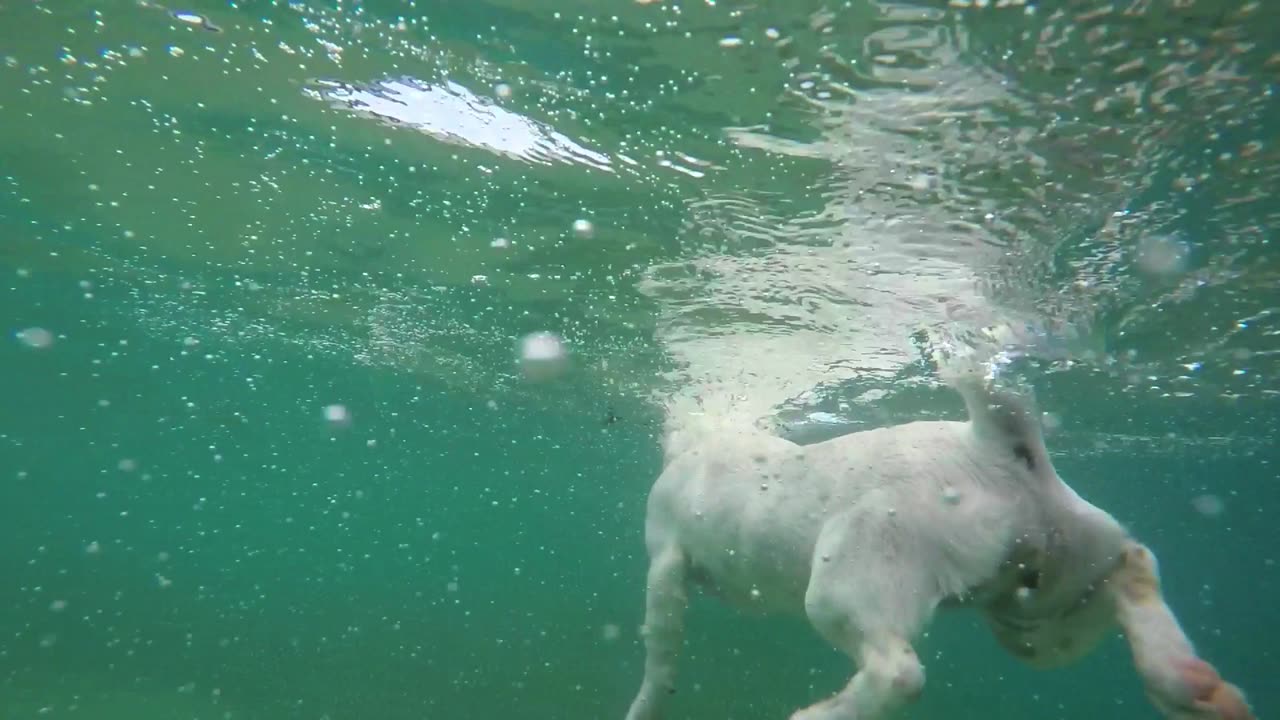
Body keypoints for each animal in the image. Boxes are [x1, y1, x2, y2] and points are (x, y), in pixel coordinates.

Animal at [624, 371, 1254, 717]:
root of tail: (996, 451)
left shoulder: (664, 564)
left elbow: (660, 652)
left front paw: (644, 707)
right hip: (1043, 615)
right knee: (1132, 566)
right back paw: (1190, 684)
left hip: (844, 583)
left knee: (898, 672)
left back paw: (817, 716)